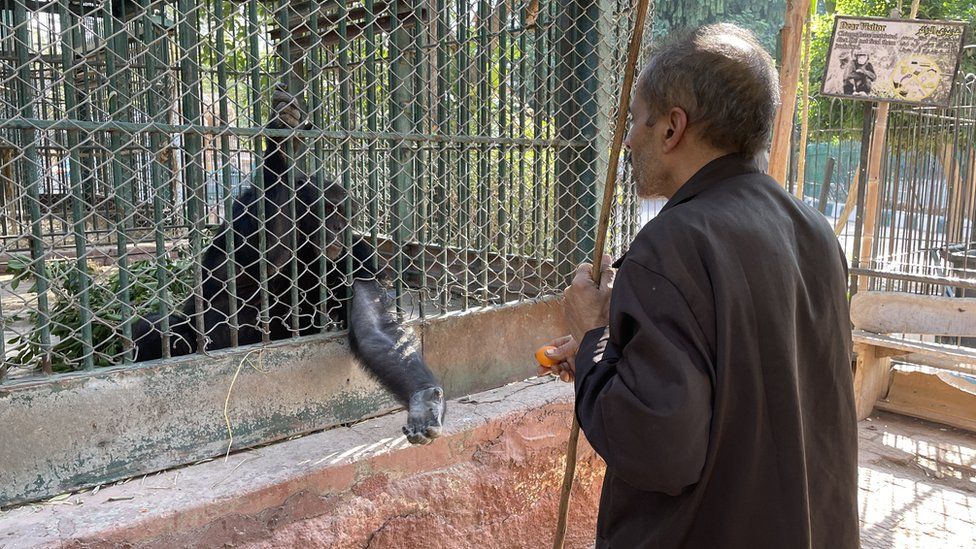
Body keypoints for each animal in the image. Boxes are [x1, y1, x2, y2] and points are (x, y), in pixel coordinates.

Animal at [132, 88, 444, 444]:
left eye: (344, 213)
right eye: (327, 211)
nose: (339, 227)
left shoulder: (359, 255)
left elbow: (374, 326)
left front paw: (423, 400)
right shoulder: (246, 213)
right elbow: (250, 266)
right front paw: (282, 145)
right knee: (156, 330)